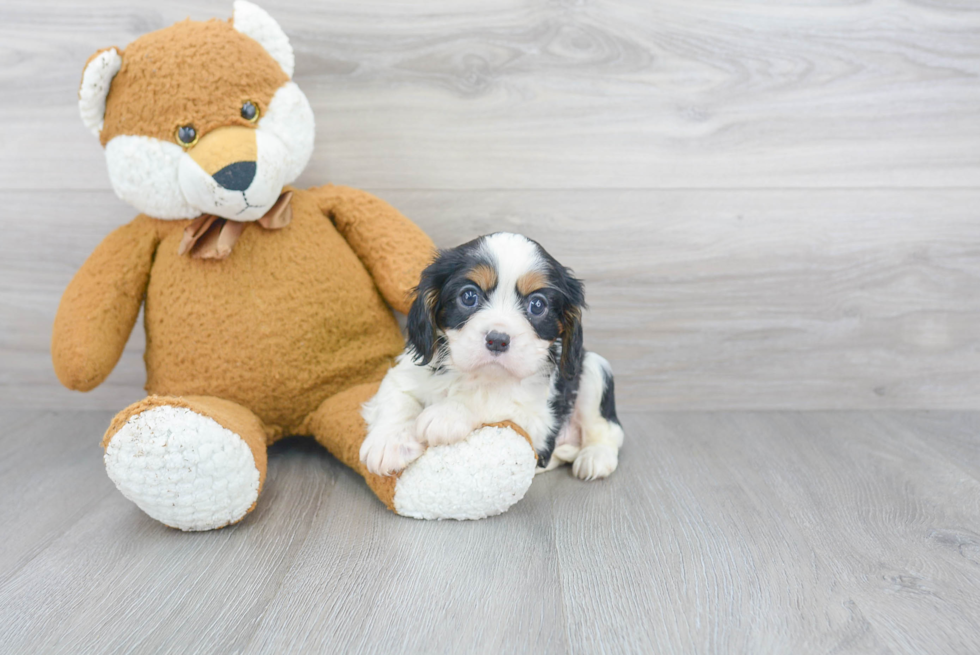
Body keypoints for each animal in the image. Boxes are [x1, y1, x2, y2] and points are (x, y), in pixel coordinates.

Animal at [358, 233, 620, 480]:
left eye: (537, 305)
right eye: (469, 296)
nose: (498, 340)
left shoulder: (538, 419)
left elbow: (490, 396)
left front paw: (446, 413)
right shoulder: (405, 372)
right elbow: (397, 397)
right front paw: (391, 441)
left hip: (594, 370)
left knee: (608, 430)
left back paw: (595, 456)